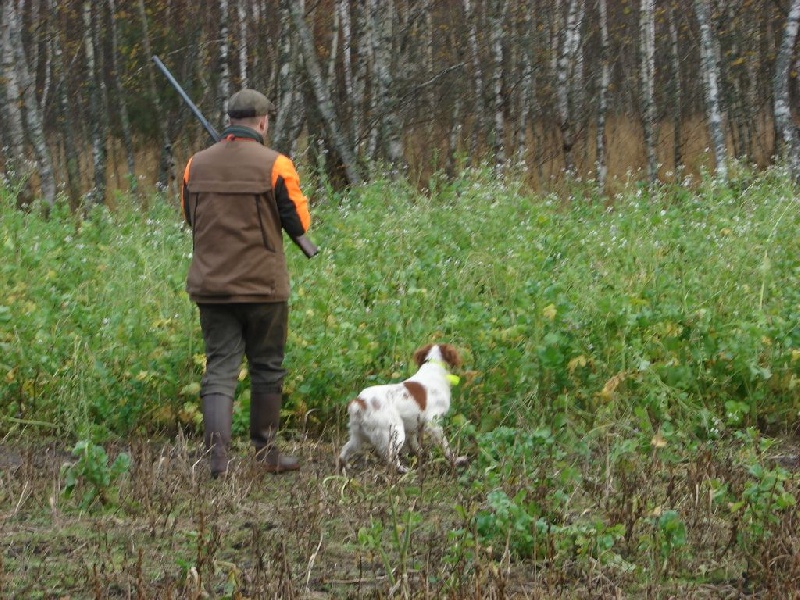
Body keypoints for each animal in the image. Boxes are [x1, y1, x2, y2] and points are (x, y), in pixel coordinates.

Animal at [340, 342, 468, 474]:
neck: (433, 365)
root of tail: (360, 402)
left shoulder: (414, 424)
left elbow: (415, 443)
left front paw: (421, 453)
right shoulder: (433, 423)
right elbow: (446, 447)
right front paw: (455, 460)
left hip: (357, 436)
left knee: (344, 451)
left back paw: (344, 467)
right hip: (396, 433)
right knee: (391, 458)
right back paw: (404, 470)